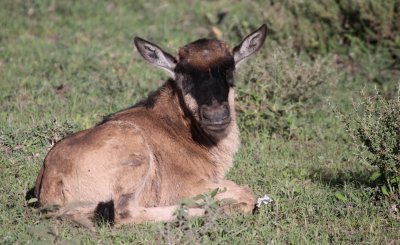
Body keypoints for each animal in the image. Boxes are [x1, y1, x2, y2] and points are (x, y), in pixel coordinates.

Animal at [34, 23, 266, 227]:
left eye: (230, 69)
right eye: (183, 75)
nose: (215, 115)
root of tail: (49, 183)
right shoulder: (188, 186)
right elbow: (247, 193)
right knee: (123, 212)